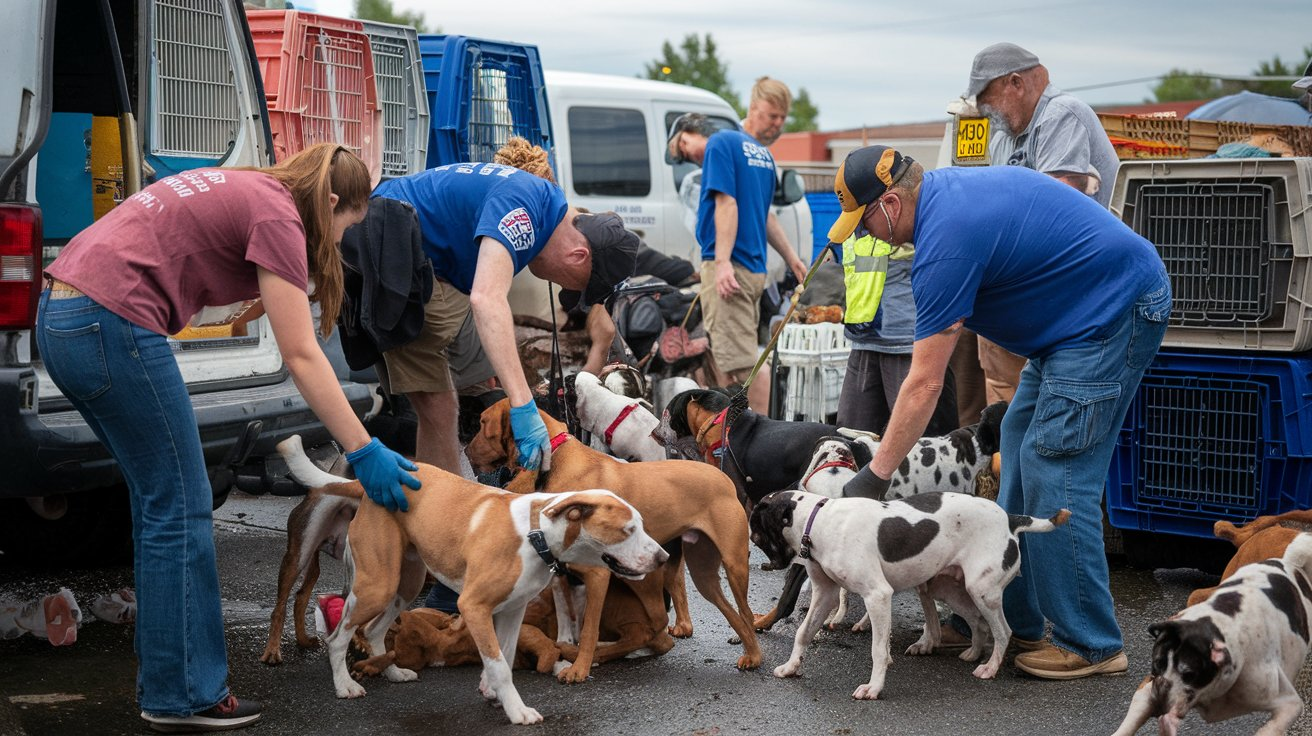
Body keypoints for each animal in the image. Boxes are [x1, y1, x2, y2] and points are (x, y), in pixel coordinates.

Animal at [292, 440, 671, 724]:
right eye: (627, 530)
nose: (664, 558)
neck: (536, 531)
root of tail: (371, 484)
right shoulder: (472, 606)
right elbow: (500, 664)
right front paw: (517, 710)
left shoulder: (512, 611)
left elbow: (503, 654)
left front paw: (492, 691)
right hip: (377, 585)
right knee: (339, 636)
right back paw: (344, 685)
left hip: (406, 586)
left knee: (372, 630)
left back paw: (394, 673)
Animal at [467, 398, 766, 682]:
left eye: (482, 422)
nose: (466, 451)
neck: (557, 459)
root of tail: (722, 477)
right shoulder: (561, 571)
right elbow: (566, 621)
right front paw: (565, 651)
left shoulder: (597, 575)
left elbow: (588, 628)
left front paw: (579, 669)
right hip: (701, 574)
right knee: (728, 610)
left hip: (733, 566)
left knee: (743, 612)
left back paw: (754, 654)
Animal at [750, 490, 1065, 697]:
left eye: (756, 534)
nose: (767, 564)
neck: (819, 521)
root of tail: (1009, 519)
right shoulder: (825, 594)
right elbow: (803, 633)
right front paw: (791, 667)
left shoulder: (878, 596)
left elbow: (878, 650)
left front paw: (874, 687)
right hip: (949, 588)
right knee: (978, 623)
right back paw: (973, 653)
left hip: (982, 591)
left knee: (1002, 631)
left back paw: (990, 668)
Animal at [1107, 530, 1312, 729]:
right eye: (1157, 664)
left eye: (1189, 674)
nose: (1161, 693)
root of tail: (1287, 562)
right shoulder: (1146, 691)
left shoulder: (1288, 704)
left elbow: (1271, 727)